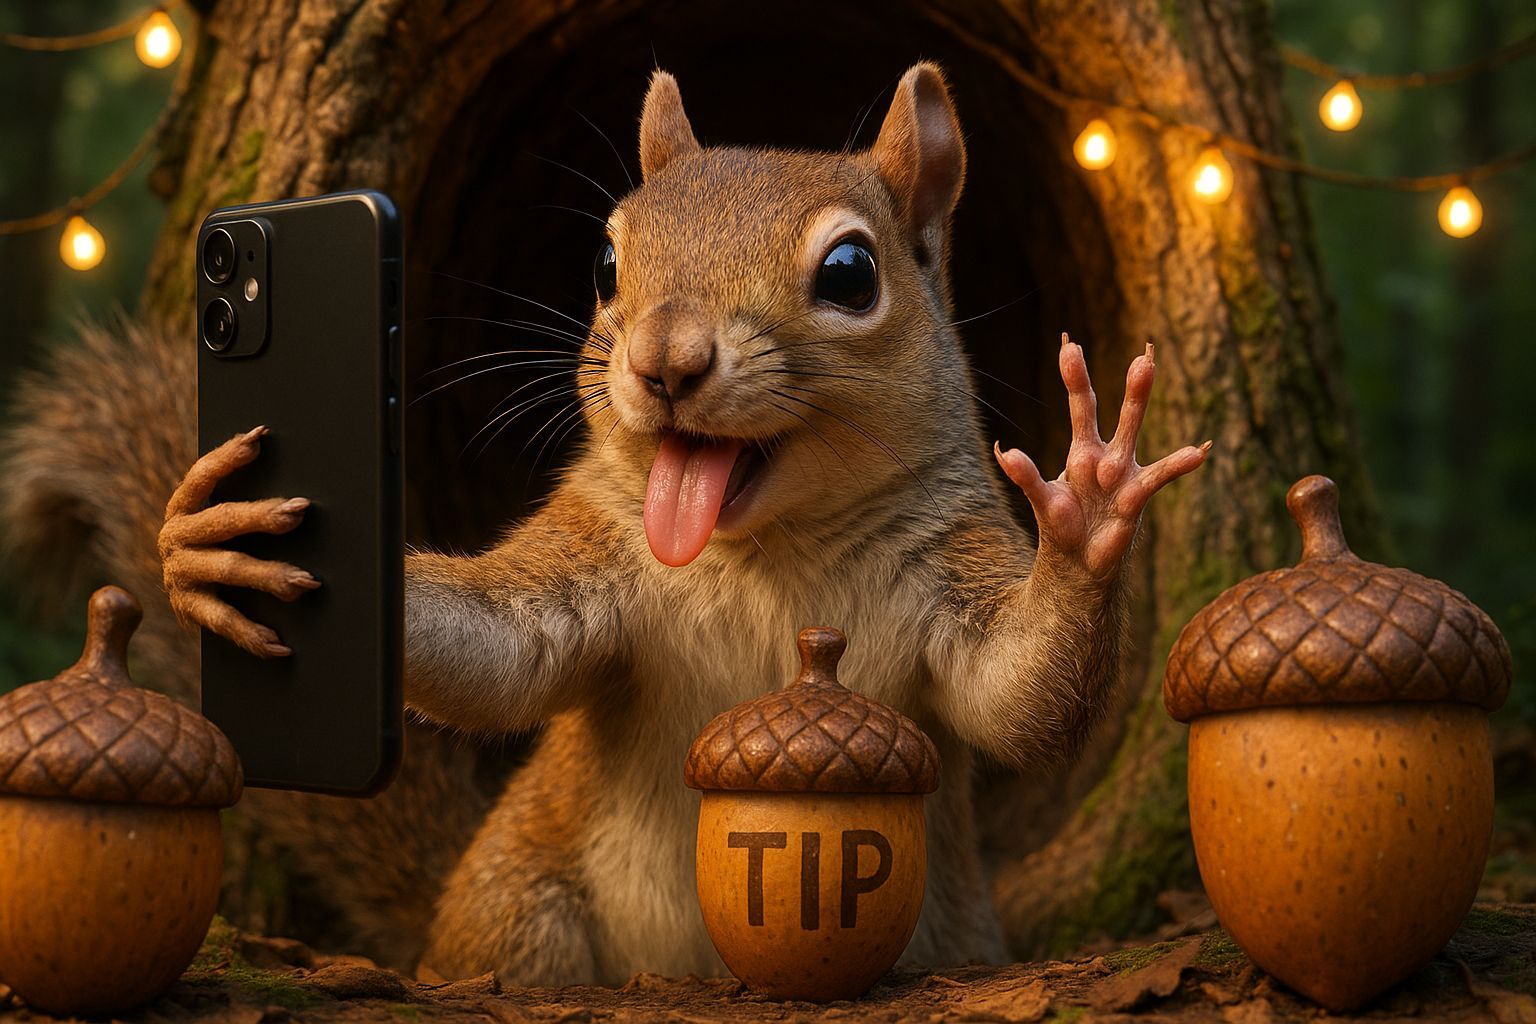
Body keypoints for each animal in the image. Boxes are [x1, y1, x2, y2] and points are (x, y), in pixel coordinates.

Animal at [12, 63, 1208, 983]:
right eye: (604, 264)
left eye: (851, 272)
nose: (666, 362)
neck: (768, 552)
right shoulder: (586, 558)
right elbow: (500, 652)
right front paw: (202, 541)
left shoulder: (954, 564)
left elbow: (1016, 696)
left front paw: (1089, 504)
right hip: (527, 911)